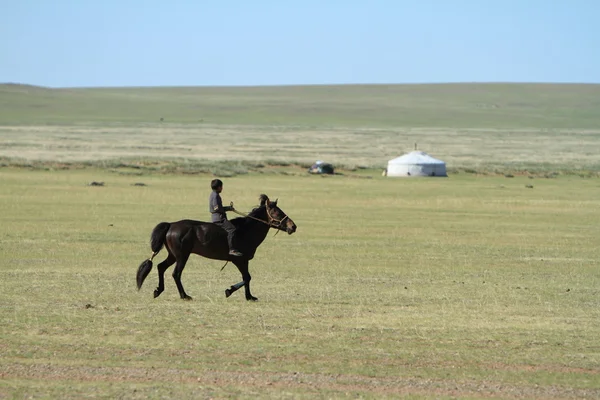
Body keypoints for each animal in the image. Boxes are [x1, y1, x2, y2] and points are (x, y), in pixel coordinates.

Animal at [135, 195, 296, 302]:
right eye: (277, 212)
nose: (293, 226)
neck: (246, 230)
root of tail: (171, 225)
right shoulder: (240, 260)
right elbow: (247, 277)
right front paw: (230, 291)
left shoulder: (244, 261)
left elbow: (247, 278)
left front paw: (249, 296)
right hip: (182, 256)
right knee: (176, 274)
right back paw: (184, 295)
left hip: (173, 255)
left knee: (161, 267)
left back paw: (158, 291)